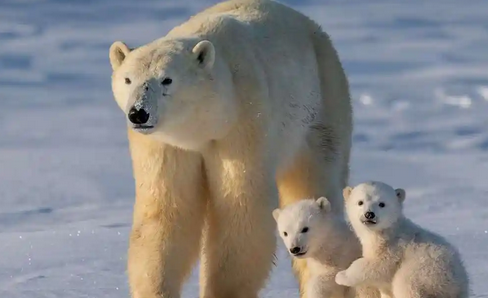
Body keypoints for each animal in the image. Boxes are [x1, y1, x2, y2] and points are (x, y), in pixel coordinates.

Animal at [108, 0, 352, 298]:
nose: (138, 113)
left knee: (314, 182)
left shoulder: (243, 123)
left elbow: (241, 210)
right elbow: (166, 212)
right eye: (128, 79)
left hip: (321, 107)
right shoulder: (166, 145)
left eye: (167, 79)